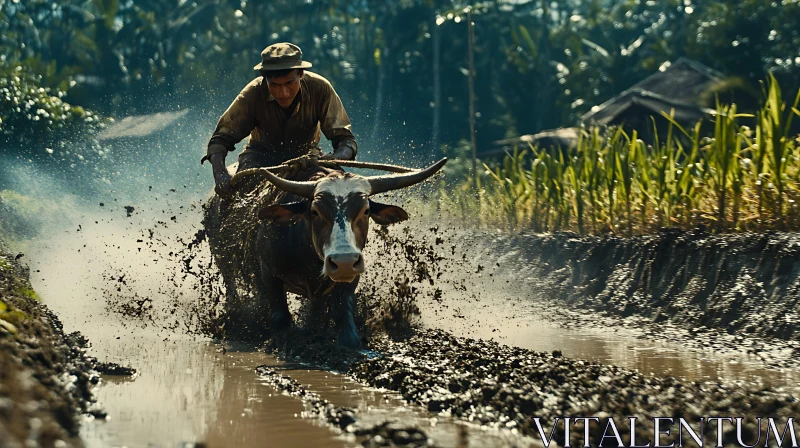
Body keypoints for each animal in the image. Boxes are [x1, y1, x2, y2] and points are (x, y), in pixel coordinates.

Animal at [203, 159, 446, 348]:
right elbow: (280, 316)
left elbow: (341, 315)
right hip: (225, 266)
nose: (344, 261)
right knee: (233, 292)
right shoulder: (268, 274)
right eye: (315, 211)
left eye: (366, 211)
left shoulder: (349, 278)